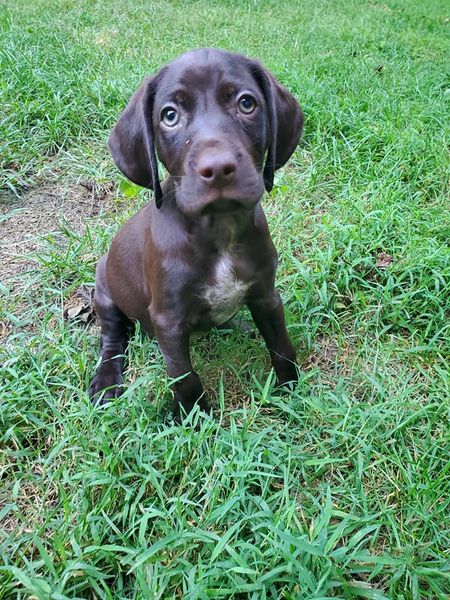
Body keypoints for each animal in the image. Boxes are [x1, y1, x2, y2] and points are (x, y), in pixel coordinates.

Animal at [89, 48, 302, 418]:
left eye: (247, 103)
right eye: (169, 116)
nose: (216, 168)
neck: (219, 231)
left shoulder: (266, 295)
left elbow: (281, 345)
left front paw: (290, 391)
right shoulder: (168, 323)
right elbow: (185, 378)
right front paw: (196, 419)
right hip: (104, 286)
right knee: (112, 336)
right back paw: (106, 379)